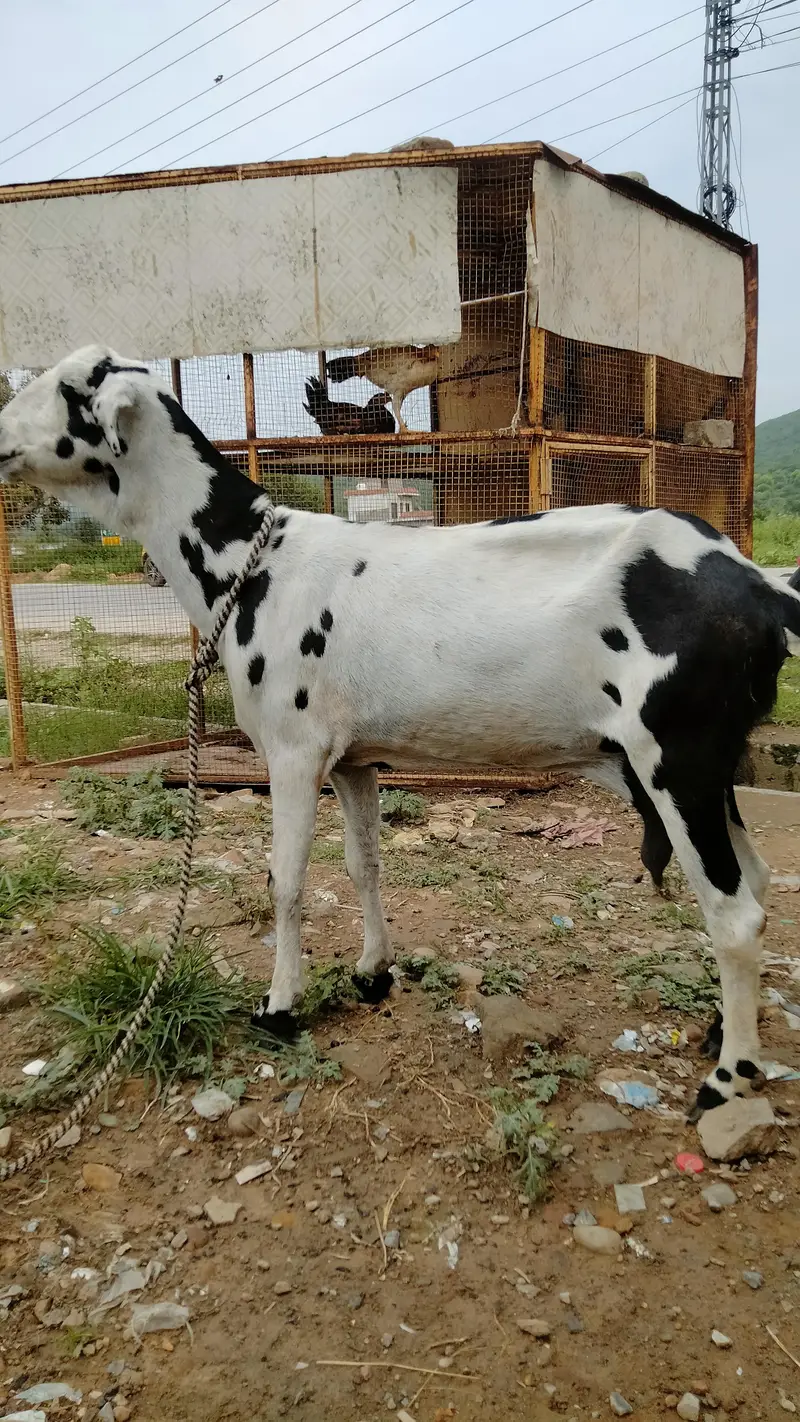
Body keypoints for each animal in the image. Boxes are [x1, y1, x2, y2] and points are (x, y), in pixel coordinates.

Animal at [1, 346, 799, 1121]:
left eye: (65, 387)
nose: (0, 435)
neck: (253, 561)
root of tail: (761, 588)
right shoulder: (353, 759)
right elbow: (363, 865)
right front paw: (372, 971)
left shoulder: (293, 751)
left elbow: (286, 879)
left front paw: (280, 1006)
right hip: (705, 763)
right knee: (756, 879)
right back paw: (722, 1035)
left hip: (677, 756)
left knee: (734, 912)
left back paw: (727, 1078)